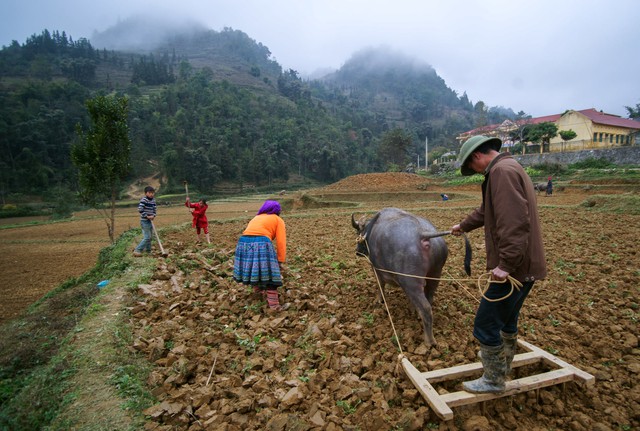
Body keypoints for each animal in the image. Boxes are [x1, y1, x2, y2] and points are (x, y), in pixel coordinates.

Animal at [350, 208, 470, 348]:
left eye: (358, 231)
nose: (357, 252)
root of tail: (422, 234)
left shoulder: (376, 269)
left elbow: (380, 285)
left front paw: (379, 300)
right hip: (435, 275)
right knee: (429, 298)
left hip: (411, 283)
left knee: (426, 309)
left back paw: (429, 342)